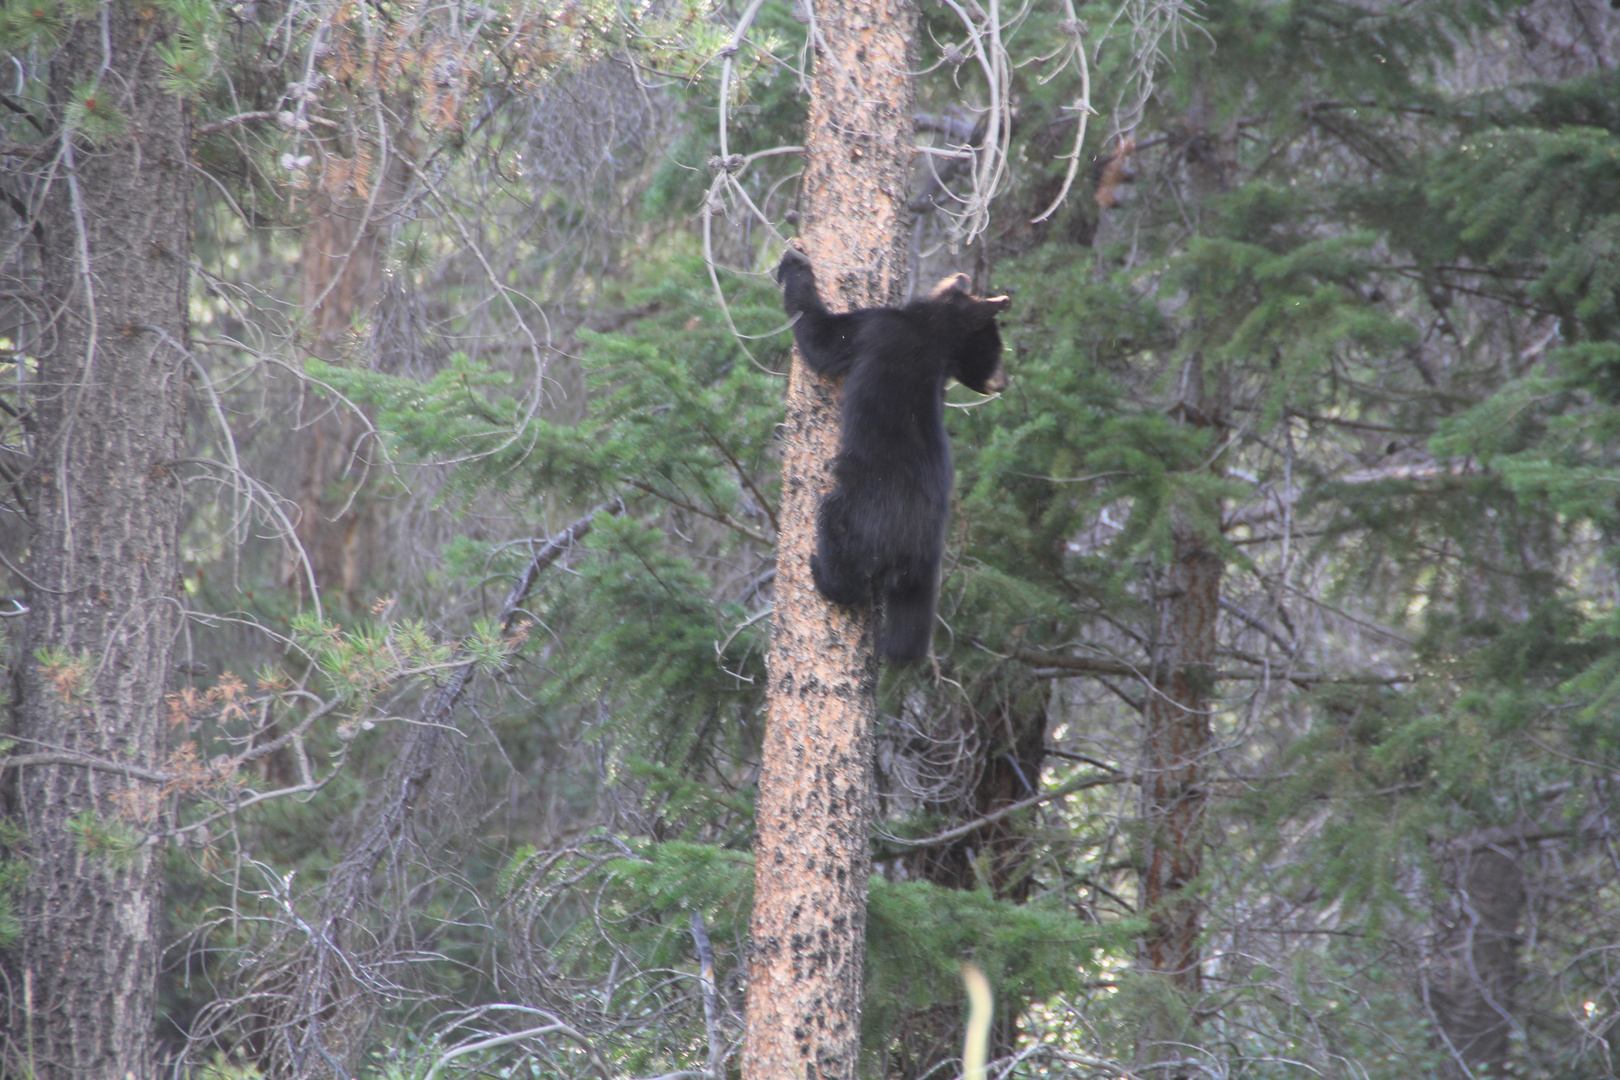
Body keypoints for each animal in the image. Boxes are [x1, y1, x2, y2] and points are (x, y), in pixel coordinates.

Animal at [774, 246, 1010, 663]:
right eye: (996, 349)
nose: (1004, 382)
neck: (932, 330)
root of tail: (914, 552)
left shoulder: (877, 327)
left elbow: (824, 338)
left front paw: (794, 265)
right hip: (921, 572)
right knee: (911, 626)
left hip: (863, 516)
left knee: (837, 536)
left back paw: (823, 573)